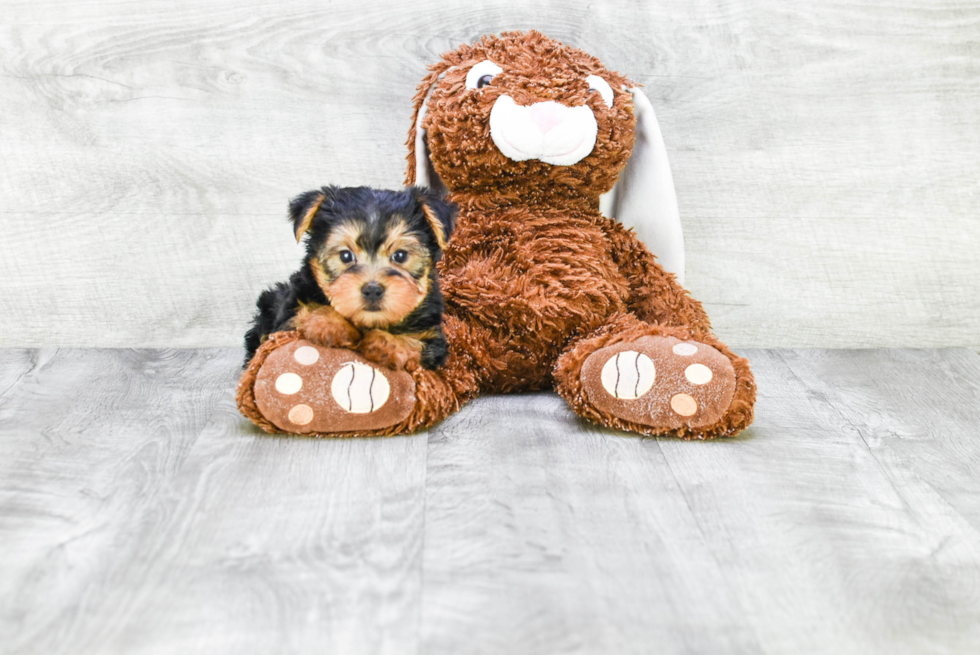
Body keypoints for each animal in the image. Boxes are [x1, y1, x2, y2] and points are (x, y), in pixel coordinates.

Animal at [245, 187, 460, 372]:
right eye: (345, 256)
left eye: (400, 256)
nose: (372, 289)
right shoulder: (288, 315)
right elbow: (304, 310)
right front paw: (330, 322)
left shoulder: (432, 338)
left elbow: (415, 343)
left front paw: (387, 344)